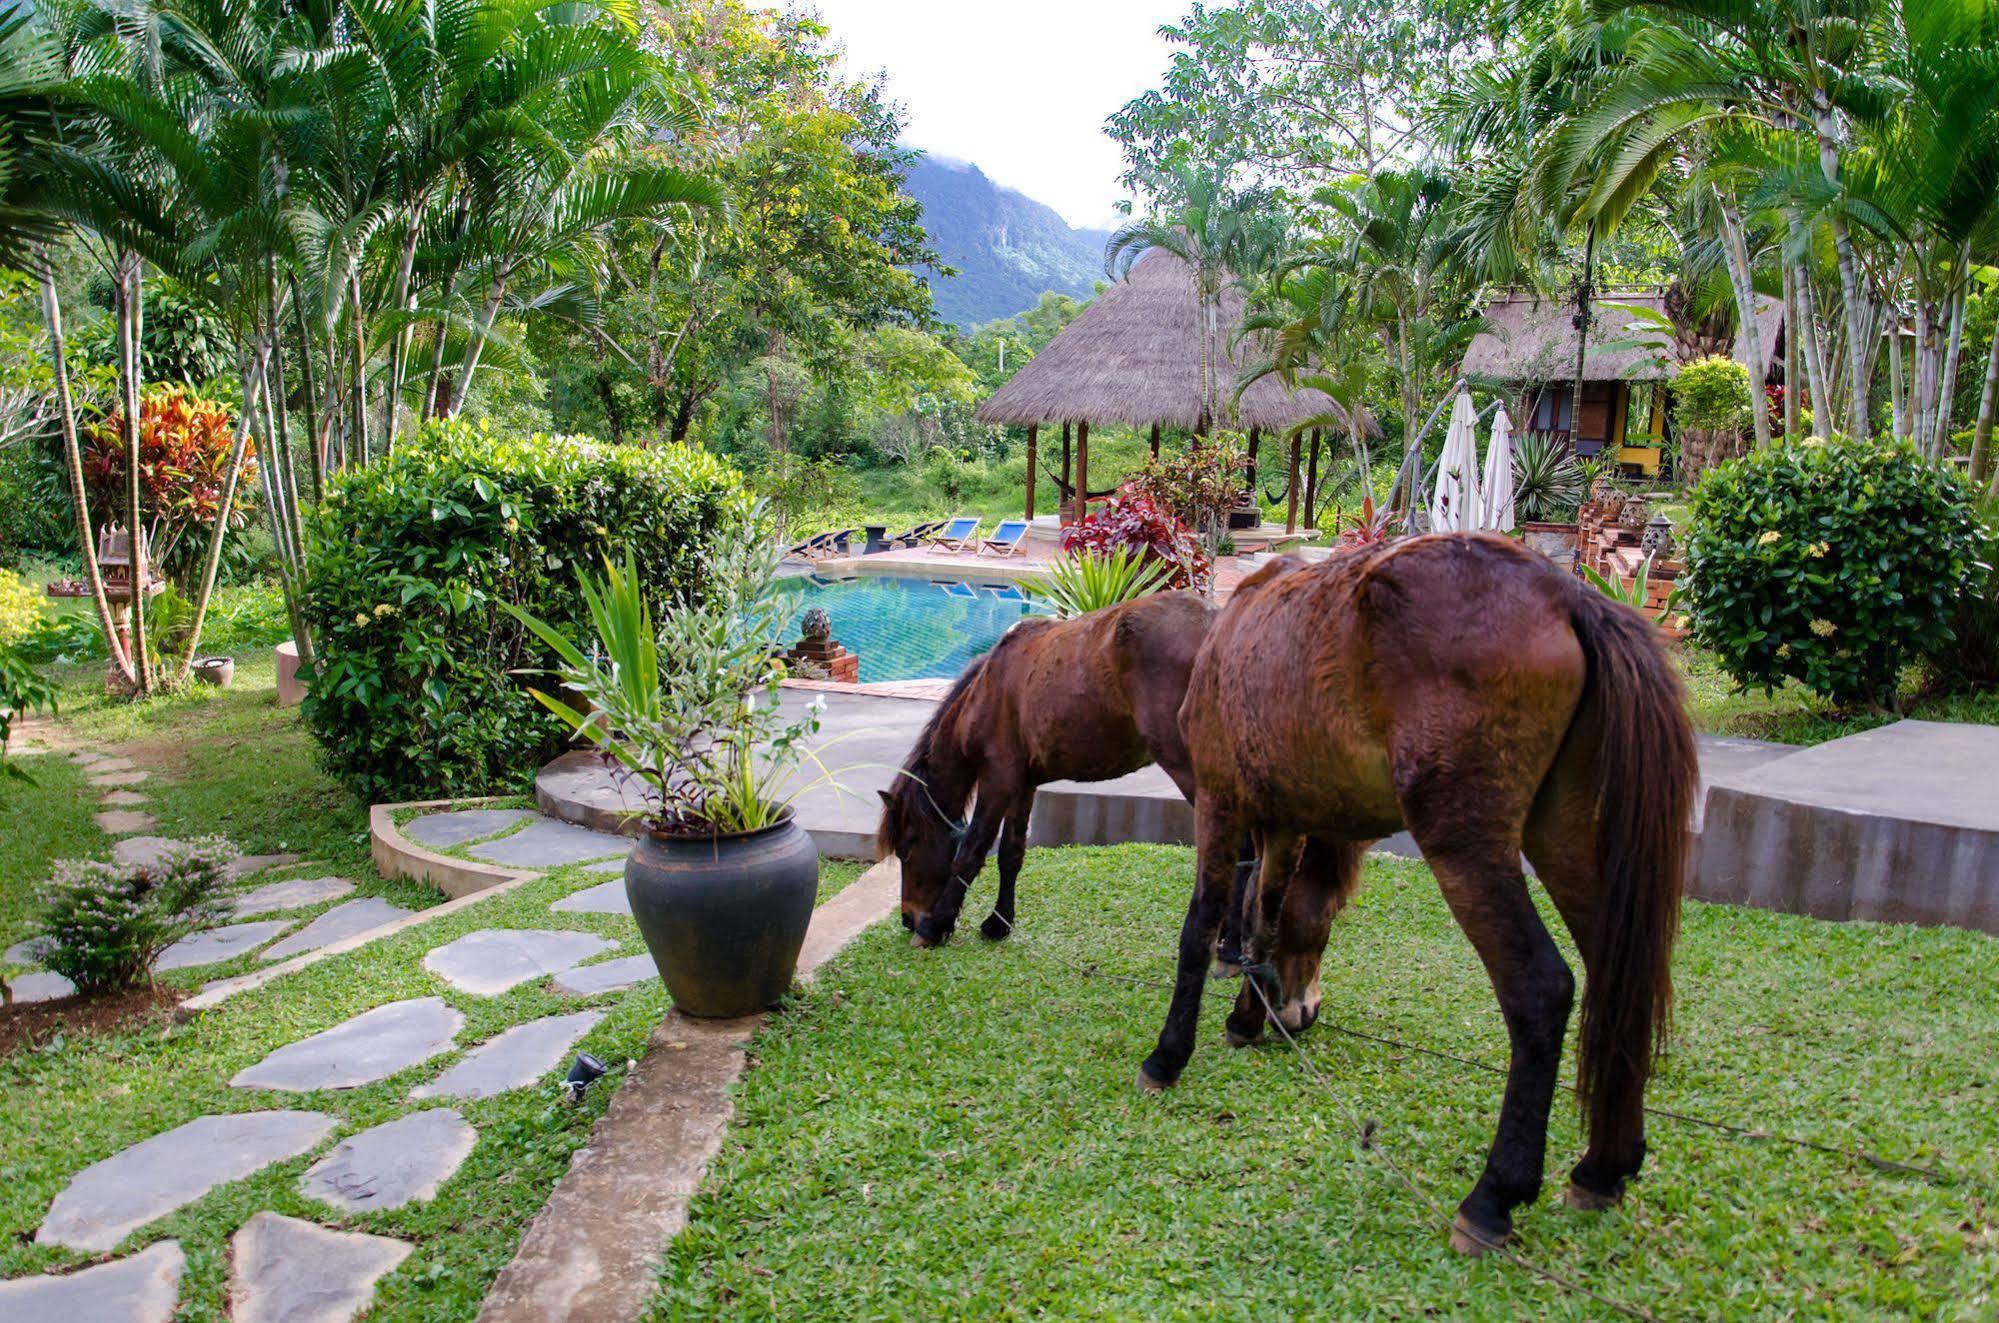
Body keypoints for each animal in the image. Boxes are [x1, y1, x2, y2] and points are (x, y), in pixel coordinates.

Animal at [879, 591, 1215, 955]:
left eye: (905, 848)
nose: (908, 918)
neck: (986, 691)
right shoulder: (1022, 784)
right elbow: (1011, 853)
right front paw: (998, 923)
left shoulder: (998, 779)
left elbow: (972, 849)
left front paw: (935, 926)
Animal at [1151, 535, 1695, 1263]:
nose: (1300, 1011)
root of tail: (1567, 592)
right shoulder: (1288, 819)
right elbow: (1267, 918)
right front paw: (1251, 1014)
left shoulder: (1220, 799)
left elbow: (1205, 923)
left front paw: (1168, 1054)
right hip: (1564, 832)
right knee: (1616, 973)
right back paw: (1604, 1166)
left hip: (1466, 845)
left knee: (1541, 989)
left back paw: (1493, 1196)